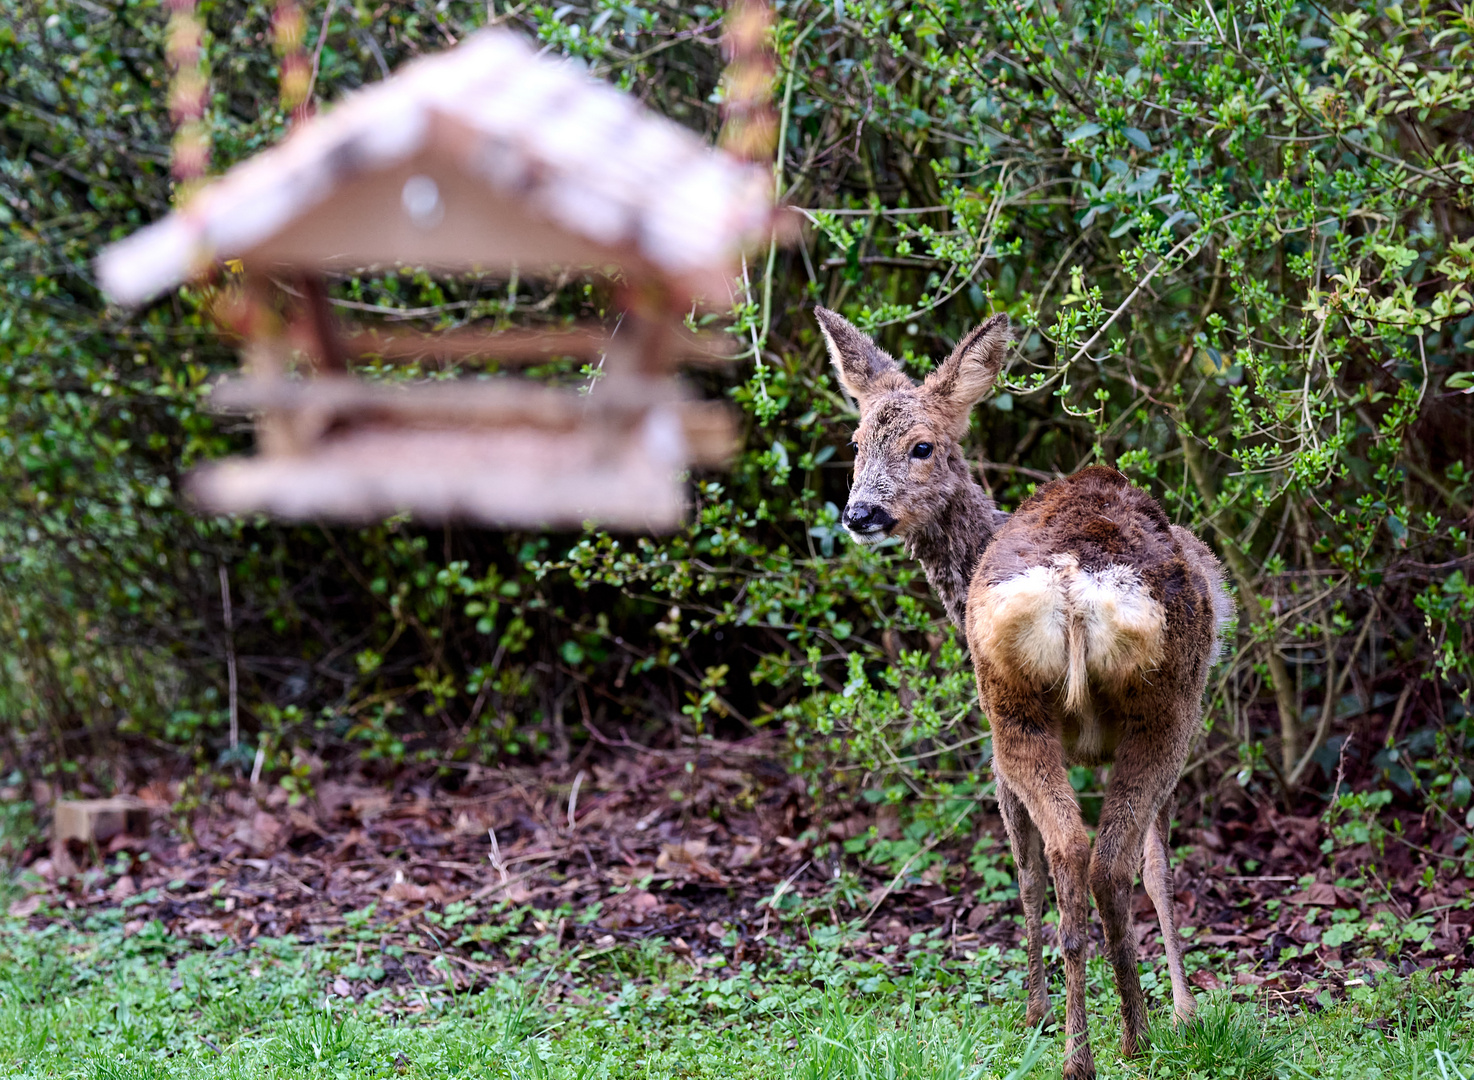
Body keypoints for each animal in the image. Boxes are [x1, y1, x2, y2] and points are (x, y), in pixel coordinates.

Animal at [819, 304, 1232, 1078]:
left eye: (921, 446)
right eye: (857, 442)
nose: (860, 515)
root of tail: (1072, 581)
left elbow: (1039, 864)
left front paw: (1167, 1008)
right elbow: (1127, 866)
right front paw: (1181, 1010)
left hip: (1054, 710)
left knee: (1082, 855)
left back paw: (1099, 1039)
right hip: (1148, 708)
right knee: (1097, 857)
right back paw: (1119, 1040)